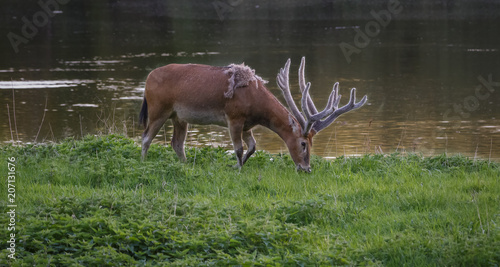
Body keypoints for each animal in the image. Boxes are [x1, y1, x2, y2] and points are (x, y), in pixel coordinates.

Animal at [138, 57, 368, 173]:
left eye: (312, 143)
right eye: (303, 143)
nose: (306, 168)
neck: (256, 105)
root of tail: (147, 79)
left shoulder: (248, 124)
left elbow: (253, 147)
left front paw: (237, 165)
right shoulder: (234, 117)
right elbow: (238, 148)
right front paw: (238, 168)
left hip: (179, 117)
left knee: (176, 143)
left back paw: (186, 165)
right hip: (158, 108)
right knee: (146, 137)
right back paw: (143, 163)